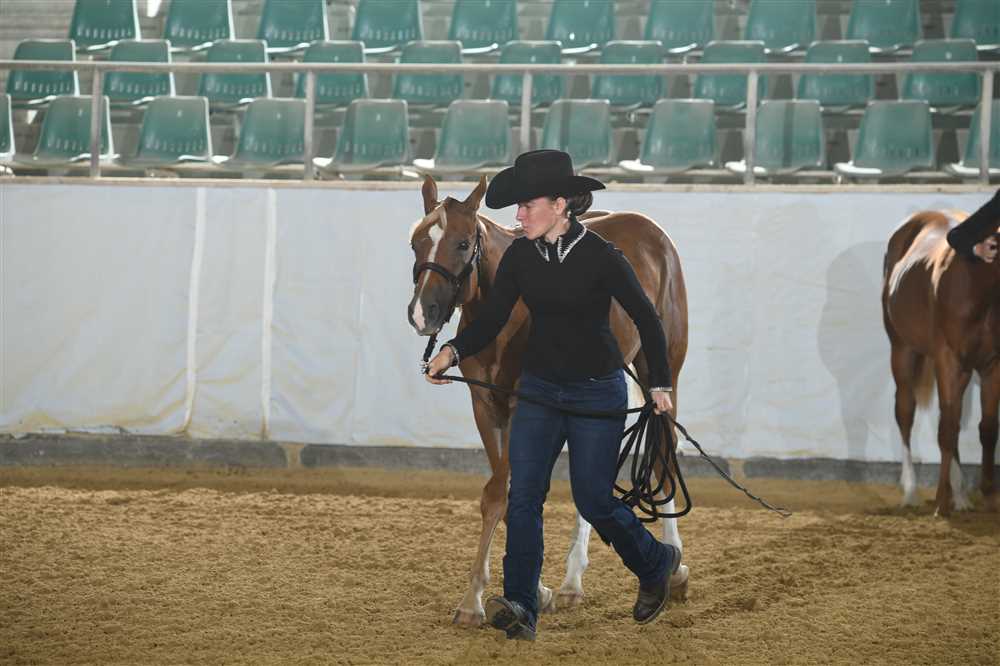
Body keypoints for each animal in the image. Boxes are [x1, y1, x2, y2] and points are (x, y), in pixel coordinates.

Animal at [882, 210, 999, 516]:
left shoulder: (991, 365)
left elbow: (987, 428)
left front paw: (989, 496)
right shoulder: (948, 360)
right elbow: (947, 429)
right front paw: (941, 502)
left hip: (961, 370)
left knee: (953, 416)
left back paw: (960, 495)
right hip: (902, 351)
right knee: (905, 412)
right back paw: (911, 491)